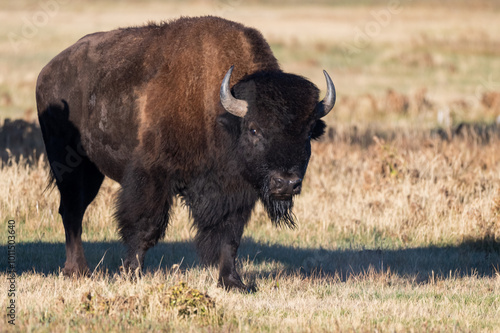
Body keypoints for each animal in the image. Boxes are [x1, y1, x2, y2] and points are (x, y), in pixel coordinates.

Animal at [36, 16, 336, 290]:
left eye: (308, 133)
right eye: (254, 129)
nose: (285, 183)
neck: (218, 114)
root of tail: (47, 72)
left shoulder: (235, 191)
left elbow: (230, 236)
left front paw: (233, 282)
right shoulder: (151, 177)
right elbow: (145, 227)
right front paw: (131, 274)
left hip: (91, 172)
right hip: (70, 166)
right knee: (72, 211)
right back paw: (77, 271)